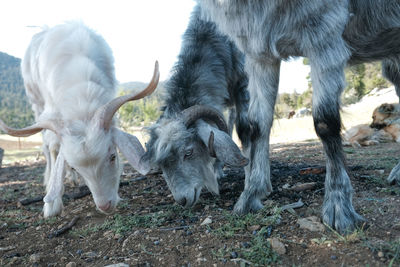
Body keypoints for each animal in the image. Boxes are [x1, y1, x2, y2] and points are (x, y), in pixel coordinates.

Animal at [0, 22, 159, 219]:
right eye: (77, 167)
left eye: (113, 156)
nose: (105, 205)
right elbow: (54, 148)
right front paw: (52, 205)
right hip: (36, 101)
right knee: (46, 145)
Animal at [200, 0, 400, 234]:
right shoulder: (259, 52)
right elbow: (257, 124)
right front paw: (250, 195)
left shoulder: (325, 32)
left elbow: (325, 122)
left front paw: (339, 207)